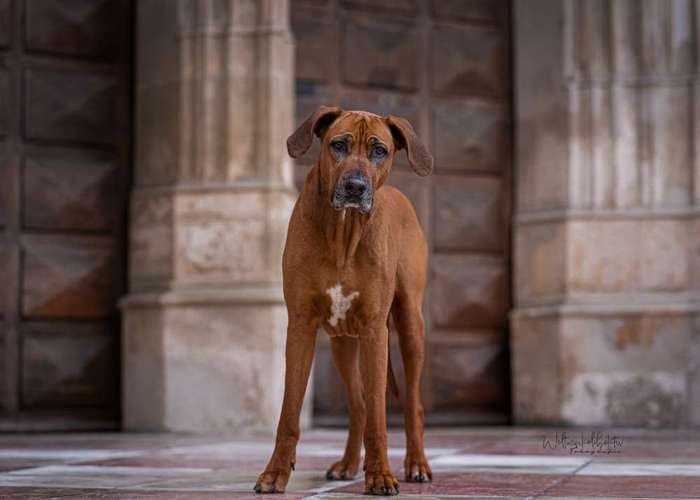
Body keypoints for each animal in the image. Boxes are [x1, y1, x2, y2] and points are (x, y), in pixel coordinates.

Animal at [254, 106, 432, 496]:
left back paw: (416, 463)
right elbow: (289, 412)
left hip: (409, 325)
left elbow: (380, 417)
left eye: (379, 150)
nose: (355, 186)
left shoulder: (375, 330)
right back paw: (350, 463)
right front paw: (276, 472)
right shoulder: (301, 325)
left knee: (411, 403)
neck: (343, 232)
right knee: (359, 405)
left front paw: (380, 475)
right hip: (342, 345)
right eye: (338, 145)